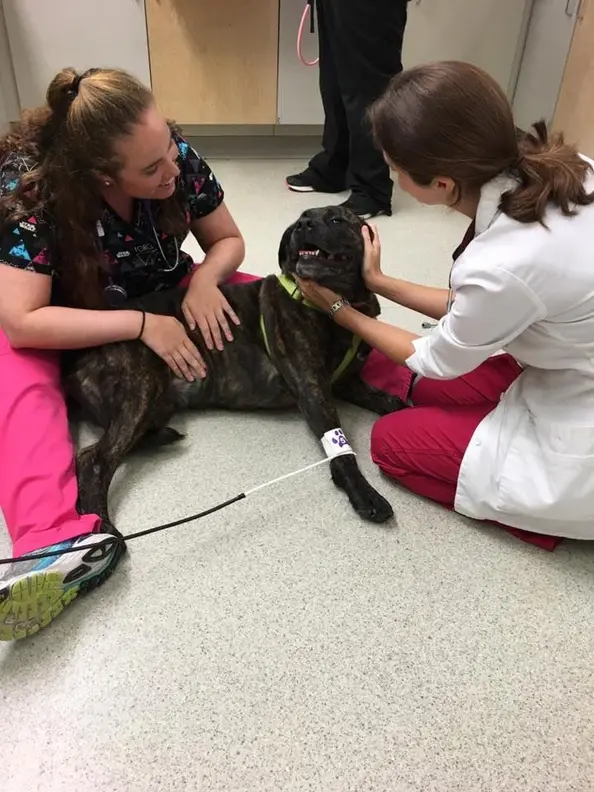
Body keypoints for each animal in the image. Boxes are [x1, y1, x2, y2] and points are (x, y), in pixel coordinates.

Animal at [66, 207, 408, 536]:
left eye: (336, 220)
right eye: (300, 220)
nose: (303, 225)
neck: (339, 304)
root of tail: (76, 358)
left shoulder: (346, 382)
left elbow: (390, 402)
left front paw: (405, 407)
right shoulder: (314, 389)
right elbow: (341, 450)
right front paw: (364, 494)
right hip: (143, 391)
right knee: (92, 460)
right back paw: (106, 531)